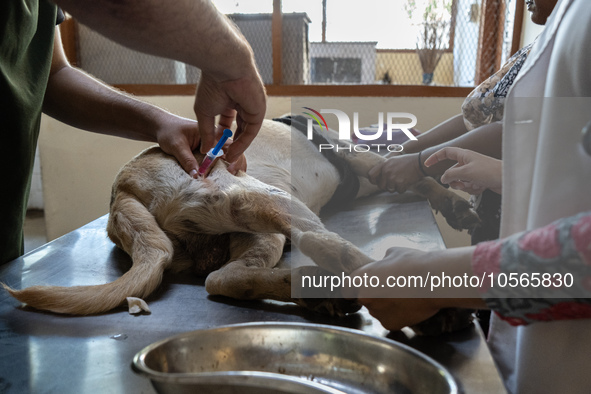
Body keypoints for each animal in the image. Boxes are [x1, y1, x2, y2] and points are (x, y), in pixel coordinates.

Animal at [4, 118, 478, 334]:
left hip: (258, 229)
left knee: (224, 278)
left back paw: (320, 292)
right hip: (262, 200)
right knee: (330, 246)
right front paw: (452, 198)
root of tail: (124, 189)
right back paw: (430, 307)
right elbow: (416, 174)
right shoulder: (367, 163)